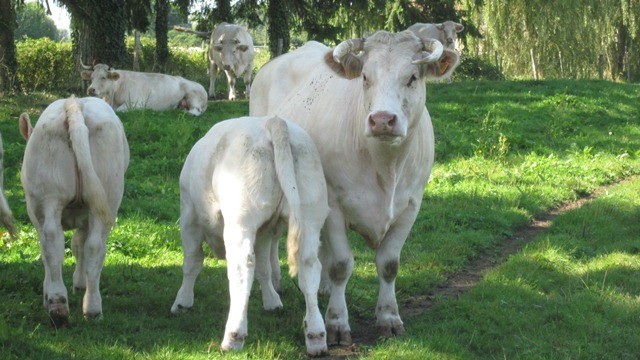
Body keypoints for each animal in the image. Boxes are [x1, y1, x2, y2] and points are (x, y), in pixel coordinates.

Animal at [18, 95, 129, 326]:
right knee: (92, 246)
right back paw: (84, 307)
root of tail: (74, 104)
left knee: (53, 244)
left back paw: (60, 303)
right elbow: (78, 244)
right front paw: (79, 283)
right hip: (103, 197)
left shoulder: (36, 213)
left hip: (50, 198)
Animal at [80, 62, 208, 116]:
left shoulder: (136, 103)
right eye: (91, 77)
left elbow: (118, 110)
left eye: (103, 77)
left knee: (196, 111)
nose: (91, 89)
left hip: (193, 96)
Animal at [171, 116, 330, 356]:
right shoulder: (265, 230)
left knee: (242, 266)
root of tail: (273, 122)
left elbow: (192, 262)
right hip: (310, 214)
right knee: (309, 265)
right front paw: (272, 301)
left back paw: (234, 335)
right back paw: (316, 335)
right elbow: (264, 267)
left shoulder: (188, 214)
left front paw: (182, 302)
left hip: (240, 220)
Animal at [248, 31, 458, 346]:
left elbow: (388, 264)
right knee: (272, 237)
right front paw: (336, 323)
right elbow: (341, 265)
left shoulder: (411, 205)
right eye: (365, 77)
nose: (382, 120)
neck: (385, 167)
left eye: (412, 77)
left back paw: (320, 287)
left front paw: (389, 318)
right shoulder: (334, 205)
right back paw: (274, 282)